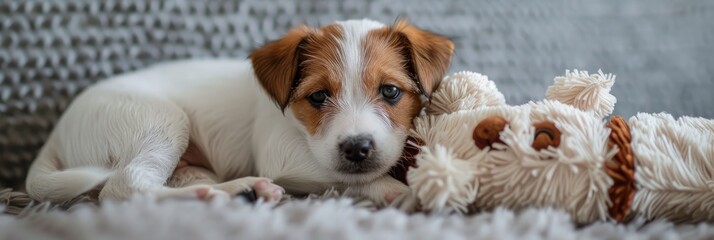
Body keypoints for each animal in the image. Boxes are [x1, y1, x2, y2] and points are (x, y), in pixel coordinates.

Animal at [27, 19, 454, 206]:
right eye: (318, 97)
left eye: (390, 91)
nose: (357, 148)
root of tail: (55, 135)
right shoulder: (281, 153)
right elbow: (348, 177)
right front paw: (396, 187)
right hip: (161, 121)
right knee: (123, 186)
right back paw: (212, 194)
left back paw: (241, 189)